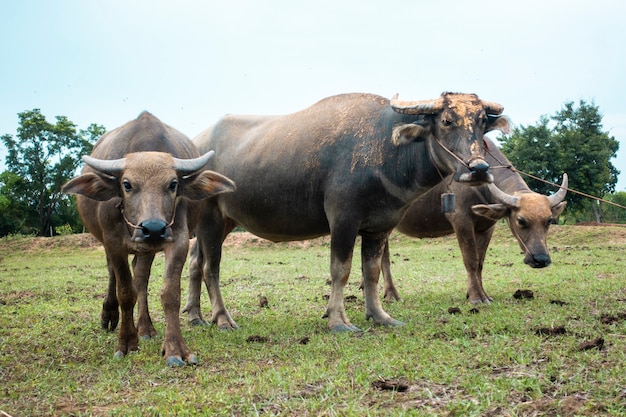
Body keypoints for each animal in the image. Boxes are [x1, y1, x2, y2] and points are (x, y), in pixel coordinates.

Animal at [61, 112, 234, 366]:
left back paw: (145, 328)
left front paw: (175, 349)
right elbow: (125, 292)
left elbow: (169, 293)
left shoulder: (178, 239)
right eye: (127, 184)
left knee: (141, 278)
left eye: (173, 184)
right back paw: (110, 315)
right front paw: (126, 344)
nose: (153, 229)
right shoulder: (113, 242)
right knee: (113, 273)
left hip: (148, 250)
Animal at [183, 92, 510, 332]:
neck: (384, 149)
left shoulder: (379, 227)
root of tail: (196, 144)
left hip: (225, 221)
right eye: (446, 120)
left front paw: (380, 316)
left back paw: (195, 316)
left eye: (482, 121)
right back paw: (222, 319)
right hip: (210, 218)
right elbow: (340, 270)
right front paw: (339, 321)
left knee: (197, 261)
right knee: (211, 267)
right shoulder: (343, 220)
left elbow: (372, 272)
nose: (479, 169)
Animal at [376, 136, 564, 302]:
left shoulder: (487, 227)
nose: (541, 259)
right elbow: (471, 260)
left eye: (549, 220)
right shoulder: (461, 221)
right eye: (521, 221)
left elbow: (480, 262)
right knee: (383, 257)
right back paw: (392, 295)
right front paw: (476, 297)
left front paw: (483, 294)